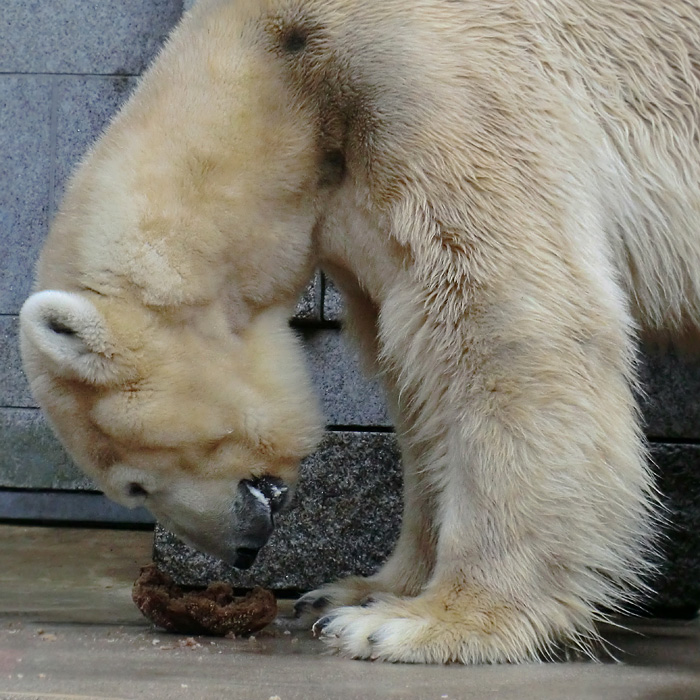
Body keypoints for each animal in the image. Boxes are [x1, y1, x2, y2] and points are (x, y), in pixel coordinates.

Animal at [19, 0, 700, 660]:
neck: (282, 60)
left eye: (134, 485)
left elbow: (508, 324)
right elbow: (418, 378)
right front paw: (356, 592)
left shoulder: (439, 83)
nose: (243, 550)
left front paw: (424, 621)